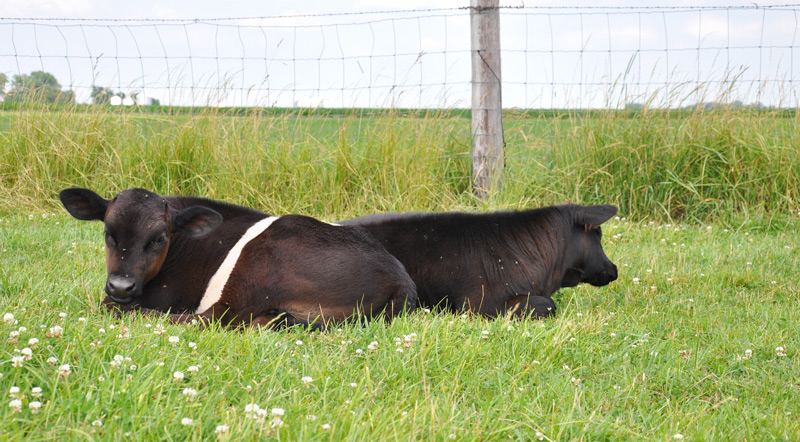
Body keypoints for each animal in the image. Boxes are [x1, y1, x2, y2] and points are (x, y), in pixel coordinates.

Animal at [59, 187, 417, 329]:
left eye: (159, 238)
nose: (121, 285)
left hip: (256, 269)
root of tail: (400, 275)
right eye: (108, 232)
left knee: (212, 318)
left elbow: (109, 305)